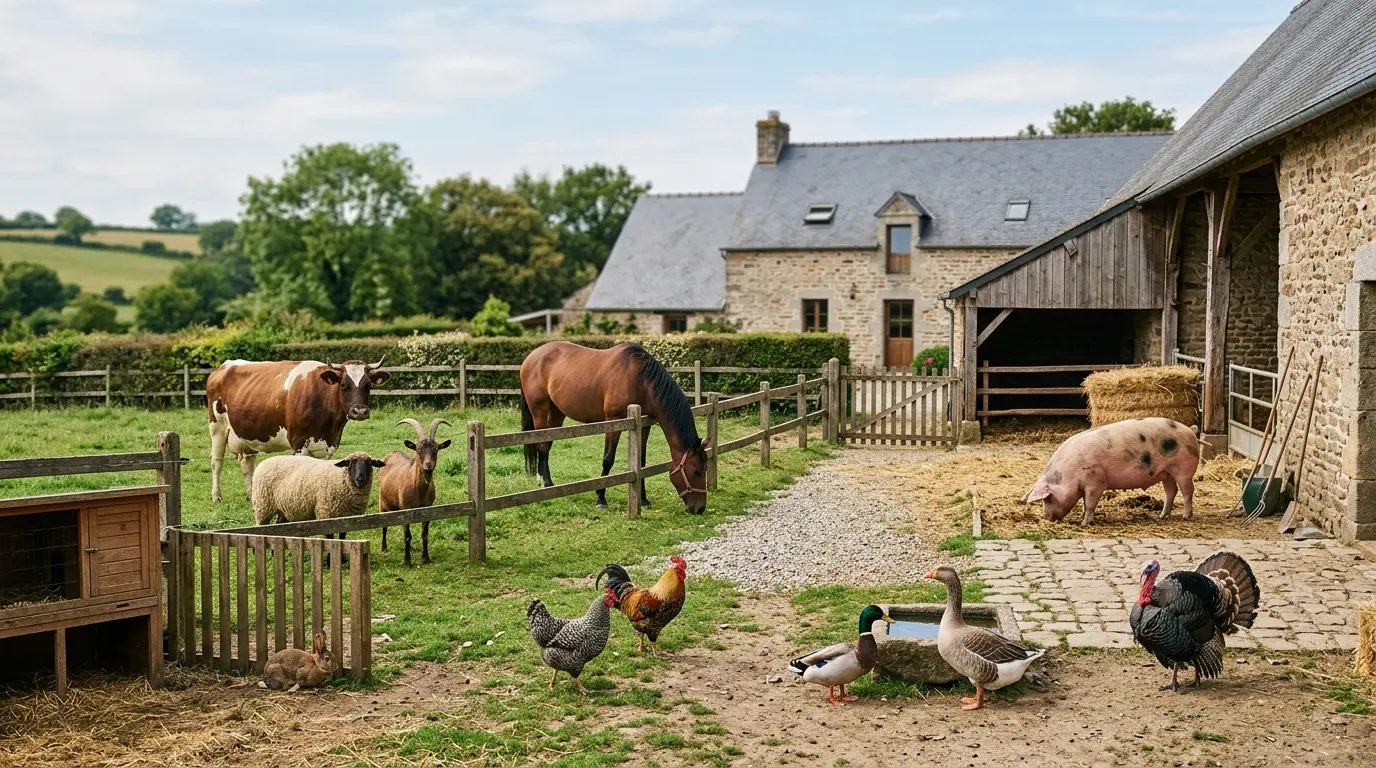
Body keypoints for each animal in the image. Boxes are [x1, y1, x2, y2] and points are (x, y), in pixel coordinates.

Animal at [206, 359, 390, 503]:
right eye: (343, 385)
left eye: (368, 386)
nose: (360, 411)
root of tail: (222, 367)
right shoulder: (299, 443)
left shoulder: (326, 446)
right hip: (217, 428)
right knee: (216, 462)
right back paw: (216, 496)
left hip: (248, 433)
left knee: (247, 464)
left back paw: (252, 496)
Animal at [252, 452, 385, 544]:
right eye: (350, 464)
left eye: (369, 463)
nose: (360, 479)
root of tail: (263, 462)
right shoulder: (325, 513)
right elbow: (330, 538)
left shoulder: (347, 517)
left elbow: (342, 536)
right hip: (263, 506)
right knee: (261, 529)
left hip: (283, 507)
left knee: (279, 528)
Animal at [380, 418, 452, 567]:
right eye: (418, 450)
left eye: (436, 450)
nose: (428, 466)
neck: (419, 491)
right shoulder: (405, 509)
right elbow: (407, 536)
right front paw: (407, 561)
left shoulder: (428, 509)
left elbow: (424, 534)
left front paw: (426, 558)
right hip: (382, 503)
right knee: (384, 525)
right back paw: (384, 547)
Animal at [518, 342, 708, 514]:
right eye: (696, 472)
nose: (699, 508)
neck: (641, 381)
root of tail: (531, 356)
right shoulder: (614, 421)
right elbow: (608, 459)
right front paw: (601, 499)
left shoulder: (645, 425)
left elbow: (641, 462)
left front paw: (643, 499)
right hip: (539, 410)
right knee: (541, 445)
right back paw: (545, 483)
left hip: (557, 412)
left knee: (547, 443)